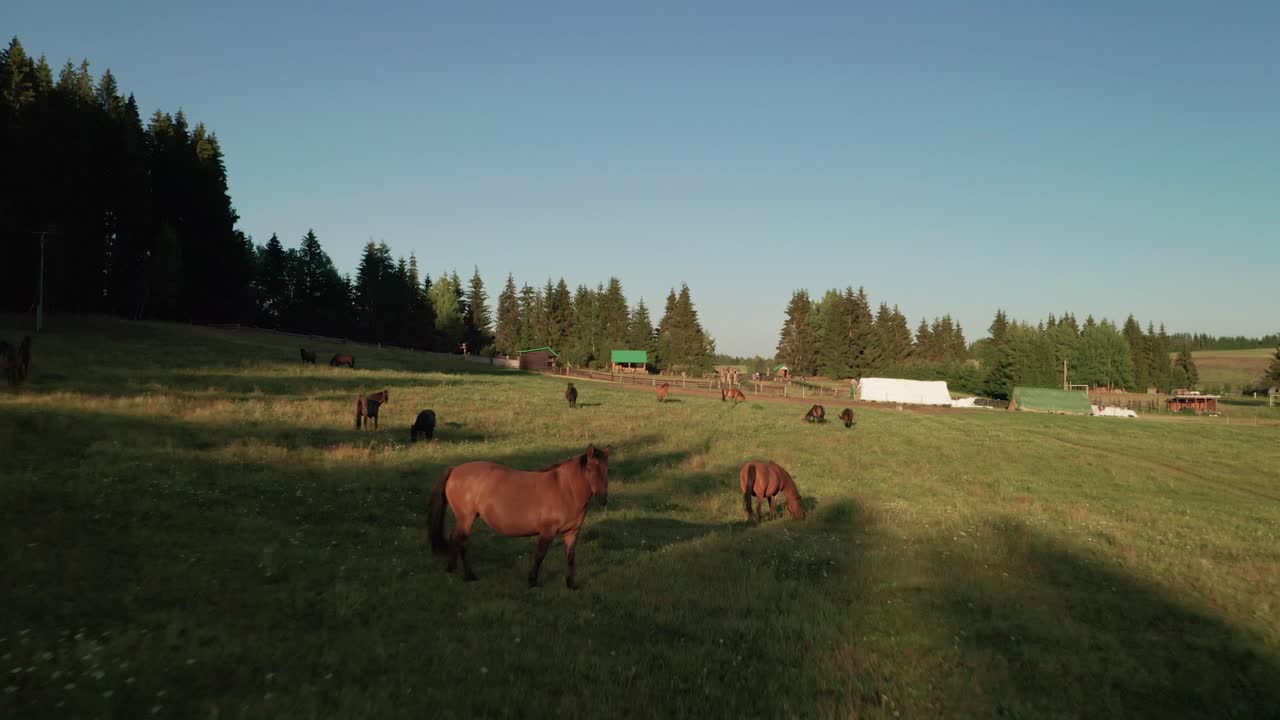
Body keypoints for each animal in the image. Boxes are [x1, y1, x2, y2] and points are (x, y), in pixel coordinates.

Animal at [428, 444, 611, 588]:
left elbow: (570, 558)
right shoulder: (548, 531)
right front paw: (532, 582)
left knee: (454, 537)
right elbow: (540, 555)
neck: (565, 489)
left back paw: (452, 568)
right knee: (462, 540)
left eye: (607, 470)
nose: (603, 499)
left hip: (463, 518)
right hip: (467, 518)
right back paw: (469, 576)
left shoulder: (572, 532)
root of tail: (454, 469)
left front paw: (571, 584)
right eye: (589, 468)